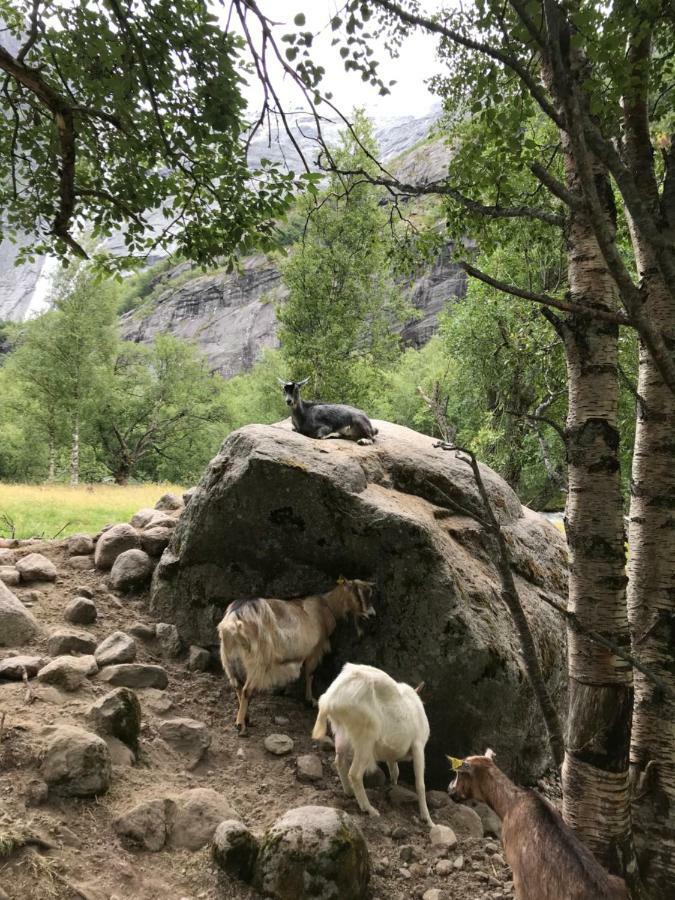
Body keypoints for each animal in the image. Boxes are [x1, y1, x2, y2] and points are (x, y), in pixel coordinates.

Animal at [217, 580, 374, 736]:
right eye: (359, 592)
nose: (372, 614)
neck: (327, 606)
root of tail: (234, 619)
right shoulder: (314, 651)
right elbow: (310, 673)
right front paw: (310, 700)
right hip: (258, 660)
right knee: (246, 690)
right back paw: (241, 725)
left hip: (229, 660)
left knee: (238, 687)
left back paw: (246, 718)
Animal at [314, 664, 436, 828]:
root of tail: (328, 701)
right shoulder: (418, 747)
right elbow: (420, 784)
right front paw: (428, 820)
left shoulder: (392, 755)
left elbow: (395, 771)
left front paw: (393, 785)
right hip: (366, 738)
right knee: (355, 773)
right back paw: (369, 809)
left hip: (342, 733)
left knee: (339, 761)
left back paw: (349, 792)